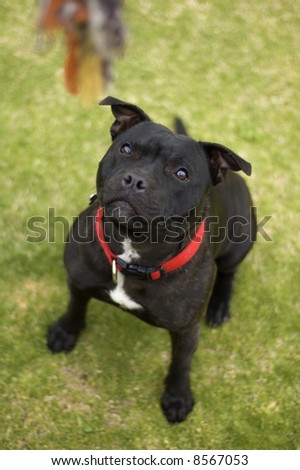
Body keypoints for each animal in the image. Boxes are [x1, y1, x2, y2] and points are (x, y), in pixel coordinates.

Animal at [47, 97, 255, 424]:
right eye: (126, 149)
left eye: (181, 173)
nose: (135, 179)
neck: (132, 252)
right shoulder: (78, 279)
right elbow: (75, 305)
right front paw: (66, 332)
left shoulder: (186, 331)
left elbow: (181, 364)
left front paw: (177, 397)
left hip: (240, 243)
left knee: (228, 273)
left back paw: (220, 305)